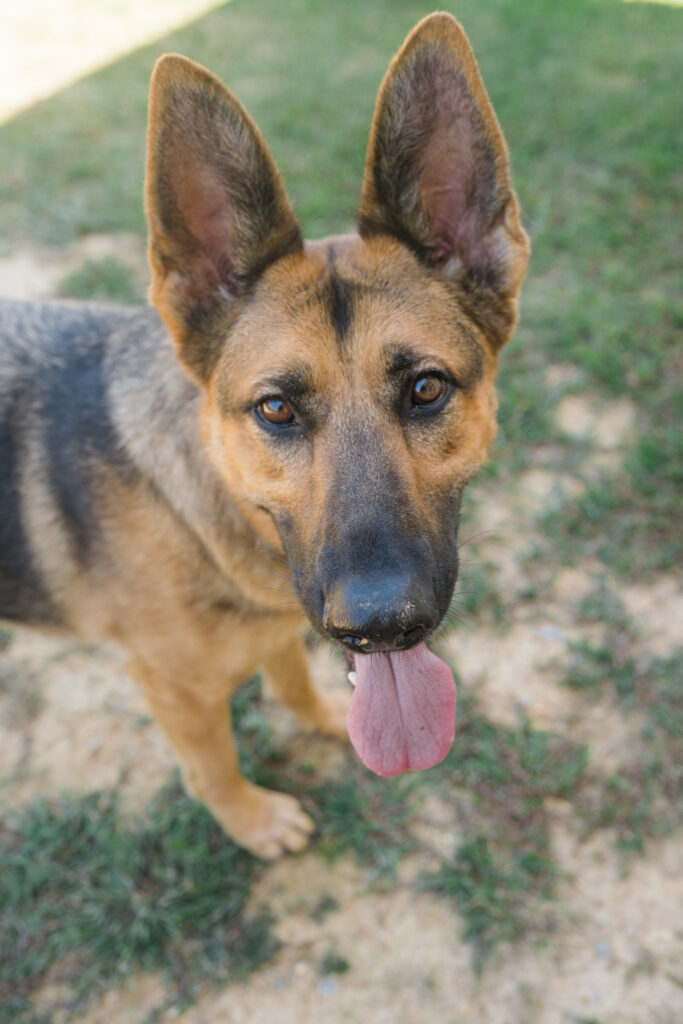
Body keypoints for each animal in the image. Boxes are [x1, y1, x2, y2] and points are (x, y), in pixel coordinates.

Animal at [0, 13, 529, 857]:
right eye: (275, 409)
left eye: (426, 389)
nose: (382, 628)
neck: (197, 510)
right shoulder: (173, 690)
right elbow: (213, 767)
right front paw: (254, 821)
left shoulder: (284, 623)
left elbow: (290, 673)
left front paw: (324, 720)